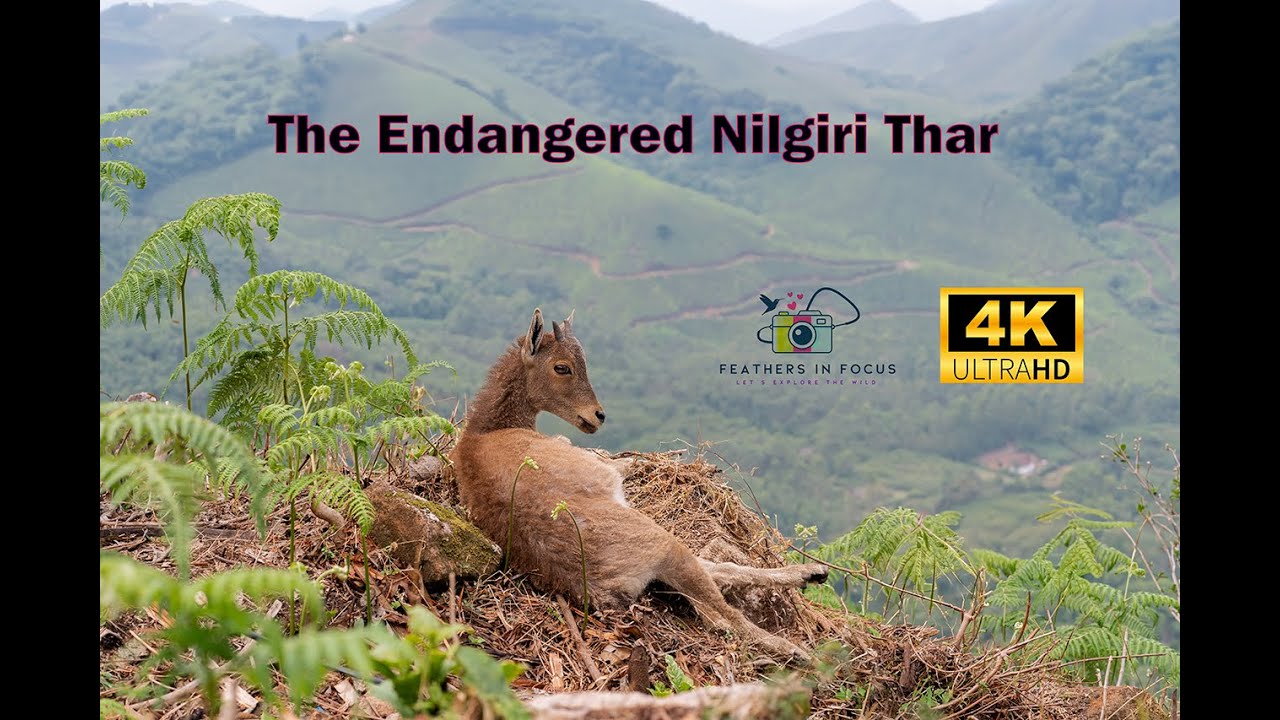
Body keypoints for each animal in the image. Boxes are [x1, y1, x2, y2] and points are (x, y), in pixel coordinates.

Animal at [452, 308, 829, 661]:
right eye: (562, 367)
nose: (597, 416)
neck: (486, 431)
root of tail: (599, 585)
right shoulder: (593, 462)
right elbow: (624, 463)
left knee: (720, 571)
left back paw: (812, 573)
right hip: (660, 543)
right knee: (726, 611)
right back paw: (800, 651)